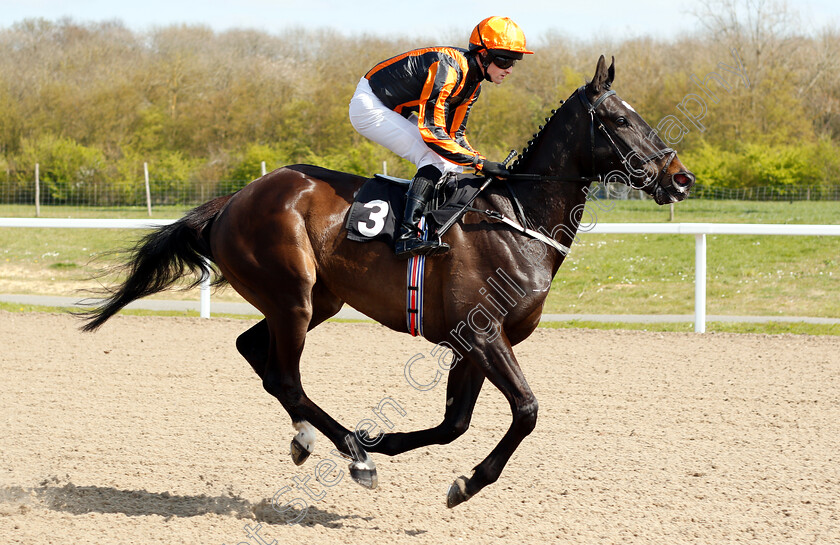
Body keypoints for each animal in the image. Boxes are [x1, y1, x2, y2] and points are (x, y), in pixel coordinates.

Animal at [79, 57, 696, 508]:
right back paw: (354, 453)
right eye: (621, 120)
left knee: (253, 350)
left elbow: (454, 423)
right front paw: (454, 477)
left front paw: (418, 456)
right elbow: (526, 410)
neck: (516, 217)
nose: (681, 178)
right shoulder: (482, 334)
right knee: (284, 377)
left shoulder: (474, 343)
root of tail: (233, 199)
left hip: (313, 300)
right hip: (293, 298)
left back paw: (314, 439)